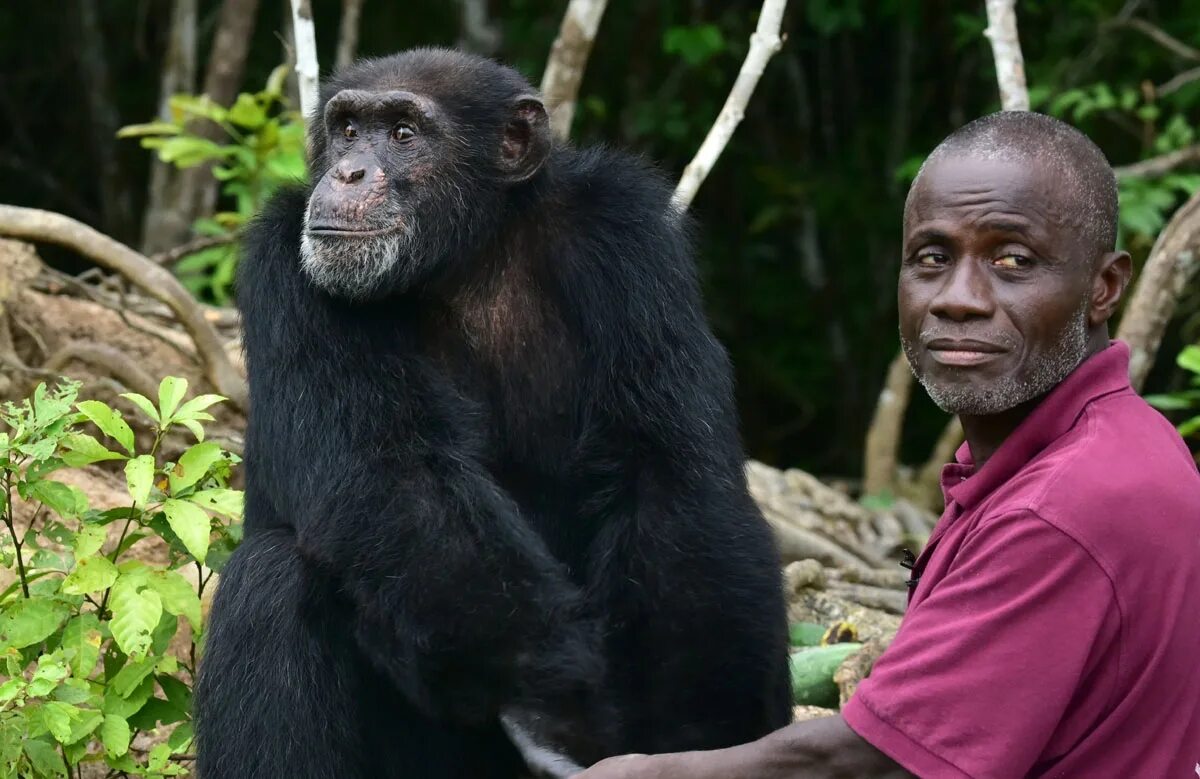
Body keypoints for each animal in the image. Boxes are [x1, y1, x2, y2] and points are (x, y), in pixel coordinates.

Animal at [195, 48, 792, 777]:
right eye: (347, 129)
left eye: (403, 133)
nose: (348, 170)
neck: (467, 258)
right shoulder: (286, 262)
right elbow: (395, 471)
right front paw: (552, 705)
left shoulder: (628, 239)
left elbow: (668, 468)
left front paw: (703, 733)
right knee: (273, 580)